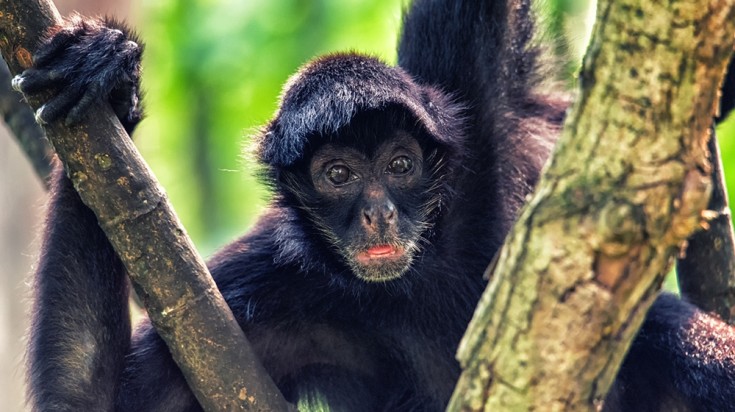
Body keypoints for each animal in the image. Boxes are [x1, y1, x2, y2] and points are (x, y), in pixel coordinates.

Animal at [14, 0, 735, 412]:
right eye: (337, 175)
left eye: (399, 166)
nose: (378, 214)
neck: (418, 280)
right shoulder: (269, 285)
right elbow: (87, 401)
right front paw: (108, 77)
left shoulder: (473, 110)